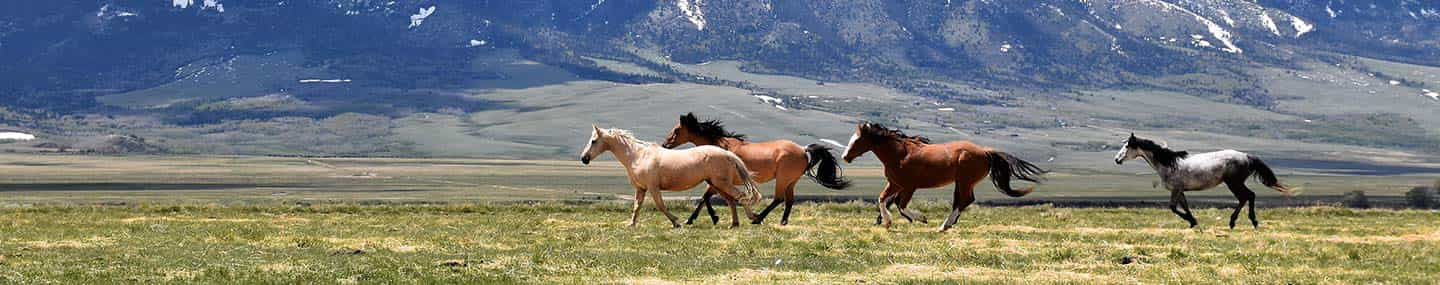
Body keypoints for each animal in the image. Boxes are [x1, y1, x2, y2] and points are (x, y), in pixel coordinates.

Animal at [581, 125, 771, 228]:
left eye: (593, 141)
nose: (584, 159)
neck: (638, 155)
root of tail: (727, 154)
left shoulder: (653, 187)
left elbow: (661, 206)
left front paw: (676, 222)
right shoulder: (640, 188)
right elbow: (636, 207)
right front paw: (631, 224)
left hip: (721, 183)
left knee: (740, 196)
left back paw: (754, 218)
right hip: (717, 184)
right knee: (732, 200)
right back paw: (734, 223)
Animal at [659, 112, 846, 225]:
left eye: (677, 130)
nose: (665, 144)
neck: (720, 147)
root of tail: (803, 149)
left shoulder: (719, 180)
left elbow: (706, 197)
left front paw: (702, 219)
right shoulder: (716, 181)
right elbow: (706, 197)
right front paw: (706, 218)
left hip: (783, 178)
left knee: (778, 199)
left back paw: (758, 219)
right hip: (792, 181)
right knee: (789, 200)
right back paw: (782, 222)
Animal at [835, 121, 1048, 231]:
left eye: (857, 140)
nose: (845, 157)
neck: (899, 154)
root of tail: (985, 152)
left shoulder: (909, 186)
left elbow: (901, 205)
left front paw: (921, 218)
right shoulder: (895, 184)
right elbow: (882, 199)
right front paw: (887, 222)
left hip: (964, 181)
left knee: (964, 200)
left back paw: (943, 225)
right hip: (962, 182)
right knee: (963, 201)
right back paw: (948, 224)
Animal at [1111, 133, 1296, 228]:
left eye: (1127, 146)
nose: (1116, 160)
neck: (1169, 164)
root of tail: (1247, 156)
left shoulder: (1175, 189)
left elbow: (1173, 207)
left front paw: (1191, 221)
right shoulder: (1180, 190)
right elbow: (1184, 207)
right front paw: (1193, 222)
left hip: (1234, 182)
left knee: (1248, 196)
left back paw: (1246, 222)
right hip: (1235, 183)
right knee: (1246, 197)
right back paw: (1236, 222)